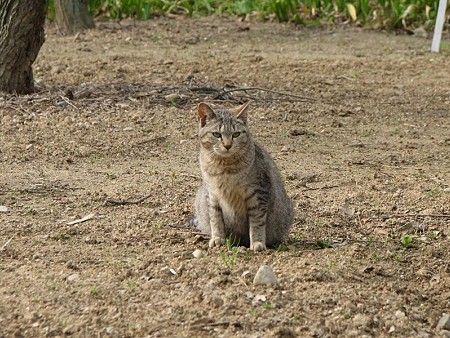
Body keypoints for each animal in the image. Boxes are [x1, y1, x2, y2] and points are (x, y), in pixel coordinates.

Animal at [192, 101, 294, 251]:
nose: (227, 145)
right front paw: (217, 238)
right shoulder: (212, 194)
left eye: (236, 134)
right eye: (216, 134)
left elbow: (256, 223)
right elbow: (215, 219)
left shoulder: (258, 194)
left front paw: (257, 242)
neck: (224, 168)